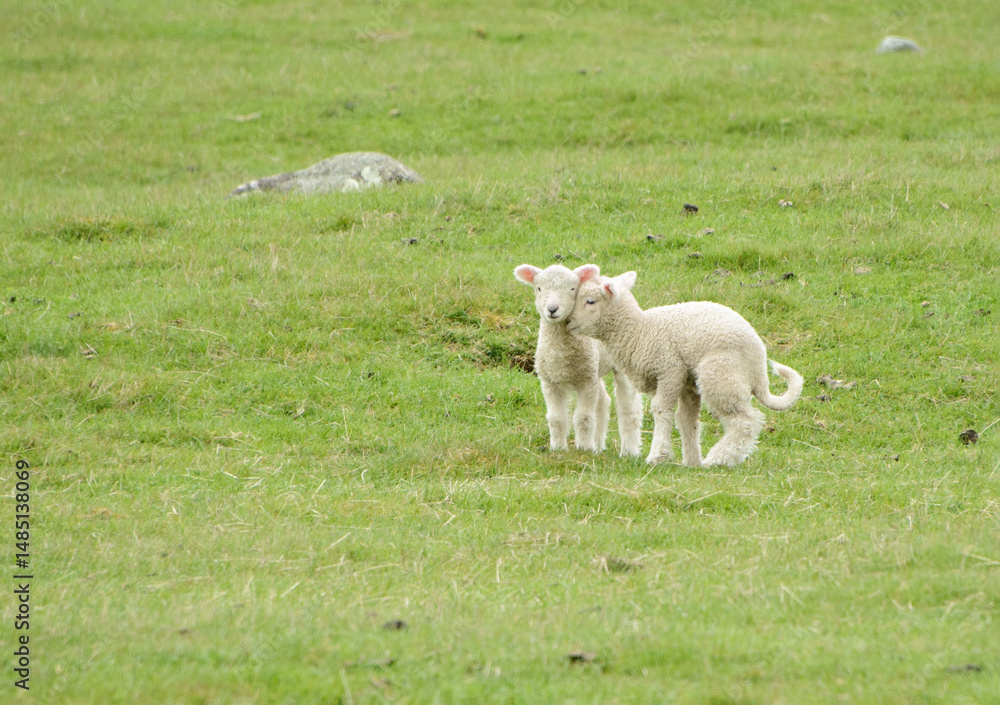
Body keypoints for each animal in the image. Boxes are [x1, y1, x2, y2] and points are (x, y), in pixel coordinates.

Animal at [514, 264, 643, 456]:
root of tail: (609, 279)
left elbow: (584, 417)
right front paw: (558, 448)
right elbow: (556, 418)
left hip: (620, 363)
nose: (552, 309)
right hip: (594, 367)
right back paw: (598, 445)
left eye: (572, 289)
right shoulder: (550, 382)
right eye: (539, 288)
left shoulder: (586, 382)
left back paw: (629, 451)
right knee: (603, 402)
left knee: (628, 408)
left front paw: (584, 448)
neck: (560, 352)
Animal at [566, 264, 803, 467]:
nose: (568, 322)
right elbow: (687, 420)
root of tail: (759, 368)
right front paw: (689, 461)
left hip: (720, 375)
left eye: (590, 301)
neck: (639, 331)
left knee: (745, 421)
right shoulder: (686, 382)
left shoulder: (670, 370)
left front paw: (657, 456)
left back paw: (718, 459)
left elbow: (661, 410)